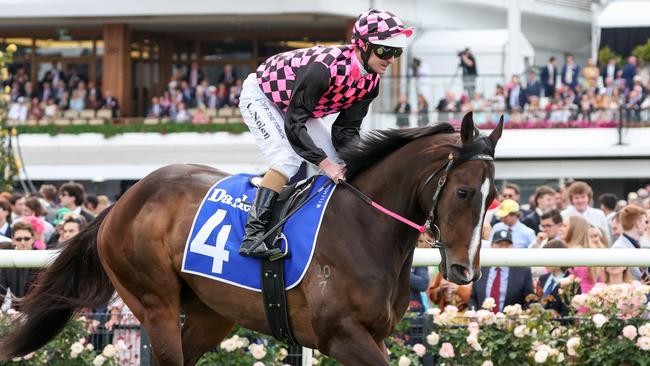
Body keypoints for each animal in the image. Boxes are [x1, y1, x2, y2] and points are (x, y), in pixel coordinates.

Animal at [0, 113, 502, 364]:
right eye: (462, 191)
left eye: (493, 195)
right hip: (153, 301)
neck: (363, 226)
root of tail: (122, 202)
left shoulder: (374, 335)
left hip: (211, 313)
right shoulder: (340, 334)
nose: (464, 271)